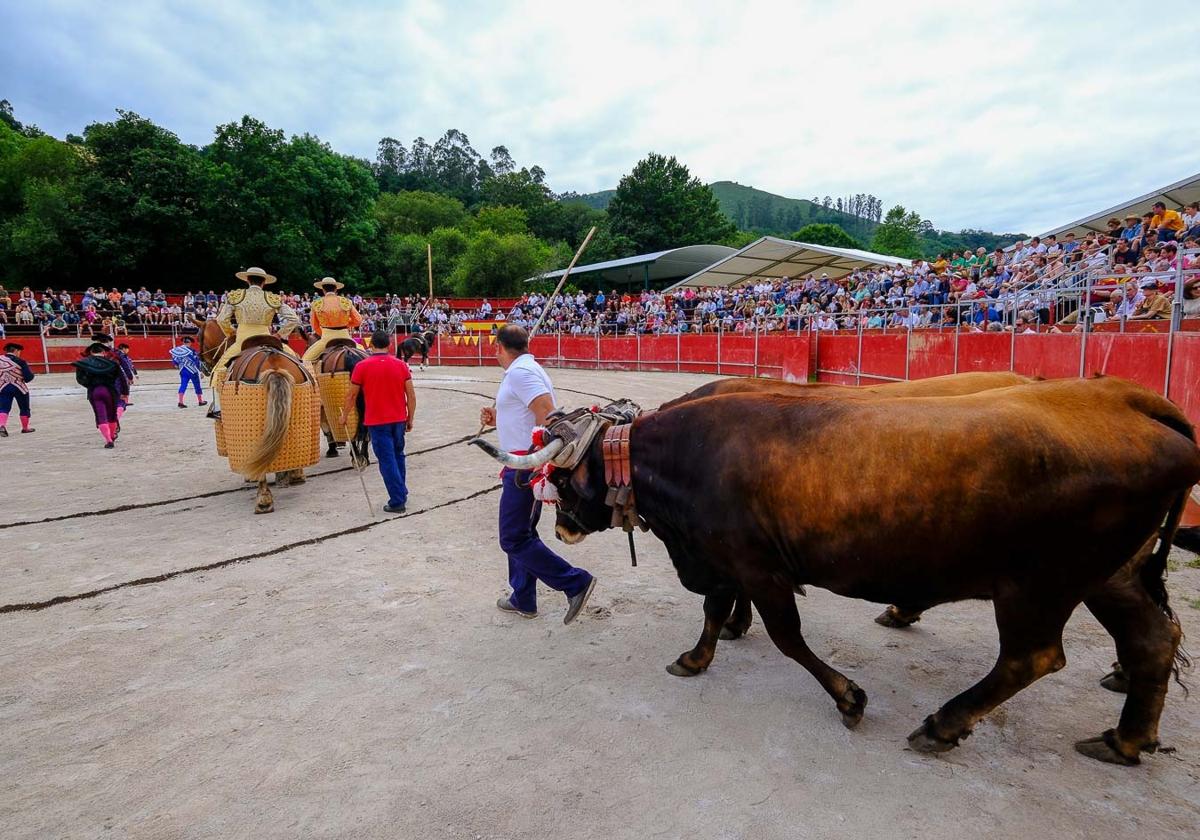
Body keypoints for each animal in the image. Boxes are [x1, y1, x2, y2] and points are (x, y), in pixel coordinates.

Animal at [470, 376, 1200, 763]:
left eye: (561, 483)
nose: (561, 527)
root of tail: (1132, 402)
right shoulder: (720, 557)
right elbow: (711, 610)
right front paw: (698, 656)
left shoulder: (755, 566)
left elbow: (788, 636)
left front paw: (849, 696)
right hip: (1109, 576)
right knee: (1151, 639)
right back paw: (1127, 738)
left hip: (1037, 585)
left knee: (1032, 657)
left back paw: (944, 724)